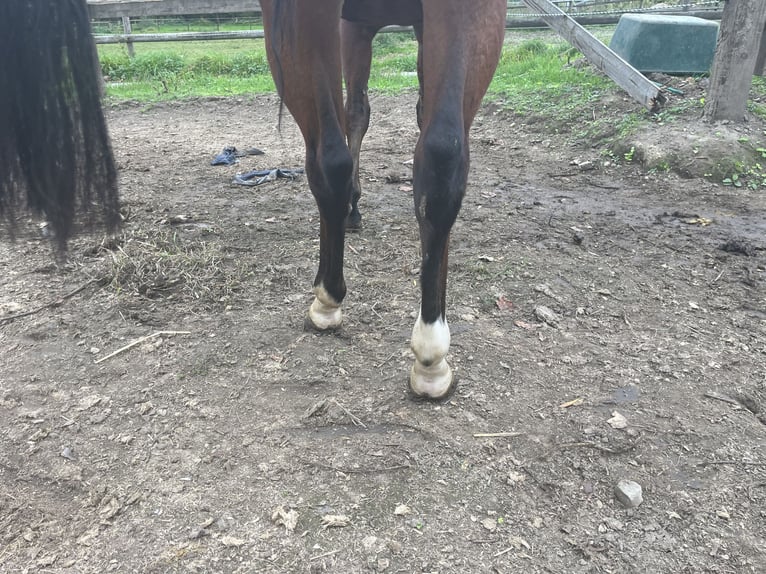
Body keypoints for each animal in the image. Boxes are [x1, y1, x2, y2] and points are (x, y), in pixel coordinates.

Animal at [260, 0, 507, 399]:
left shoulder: (351, 28)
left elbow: (356, 113)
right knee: (443, 157)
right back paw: (432, 352)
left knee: (333, 152)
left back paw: (328, 300)